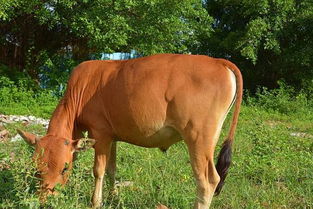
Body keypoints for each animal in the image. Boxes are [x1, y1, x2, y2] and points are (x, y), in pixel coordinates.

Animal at [18, 53, 243, 207]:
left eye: (64, 168)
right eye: (36, 169)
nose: (46, 199)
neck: (79, 91)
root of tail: (218, 61)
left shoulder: (100, 133)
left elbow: (98, 170)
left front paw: (96, 202)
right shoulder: (112, 136)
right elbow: (111, 169)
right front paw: (112, 198)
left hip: (199, 138)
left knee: (208, 181)